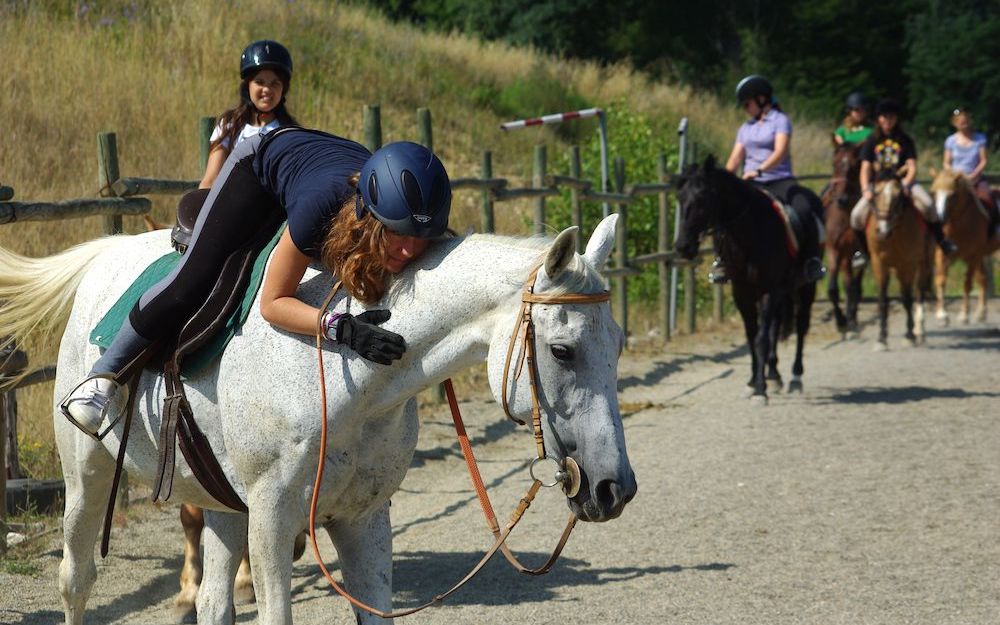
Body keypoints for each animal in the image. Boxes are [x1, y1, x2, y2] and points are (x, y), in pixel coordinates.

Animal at [0, 214, 636, 624]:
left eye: (619, 344)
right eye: (562, 351)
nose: (614, 488)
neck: (343, 371)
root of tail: (110, 253)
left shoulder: (363, 519)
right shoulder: (273, 520)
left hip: (222, 502)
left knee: (211, 603)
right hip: (87, 477)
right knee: (76, 581)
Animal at [672, 156, 820, 404]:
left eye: (701, 197)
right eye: (680, 198)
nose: (683, 247)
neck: (750, 232)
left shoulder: (768, 290)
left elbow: (760, 339)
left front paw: (760, 390)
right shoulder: (742, 292)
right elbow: (752, 336)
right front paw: (752, 382)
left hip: (806, 286)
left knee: (801, 326)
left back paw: (795, 378)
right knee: (776, 326)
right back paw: (774, 374)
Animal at [868, 178, 936, 348]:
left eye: (897, 198)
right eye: (876, 194)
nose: (882, 231)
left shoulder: (906, 265)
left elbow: (907, 299)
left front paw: (909, 335)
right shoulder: (879, 264)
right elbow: (883, 300)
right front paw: (882, 339)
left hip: (924, 263)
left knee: (919, 291)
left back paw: (920, 330)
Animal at [928, 168, 1000, 324]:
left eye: (953, 195)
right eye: (933, 193)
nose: (940, 219)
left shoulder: (972, 256)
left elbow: (967, 283)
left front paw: (964, 315)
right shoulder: (942, 254)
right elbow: (941, 279)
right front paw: (942, 315)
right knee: (983, 278)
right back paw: (981, 313)